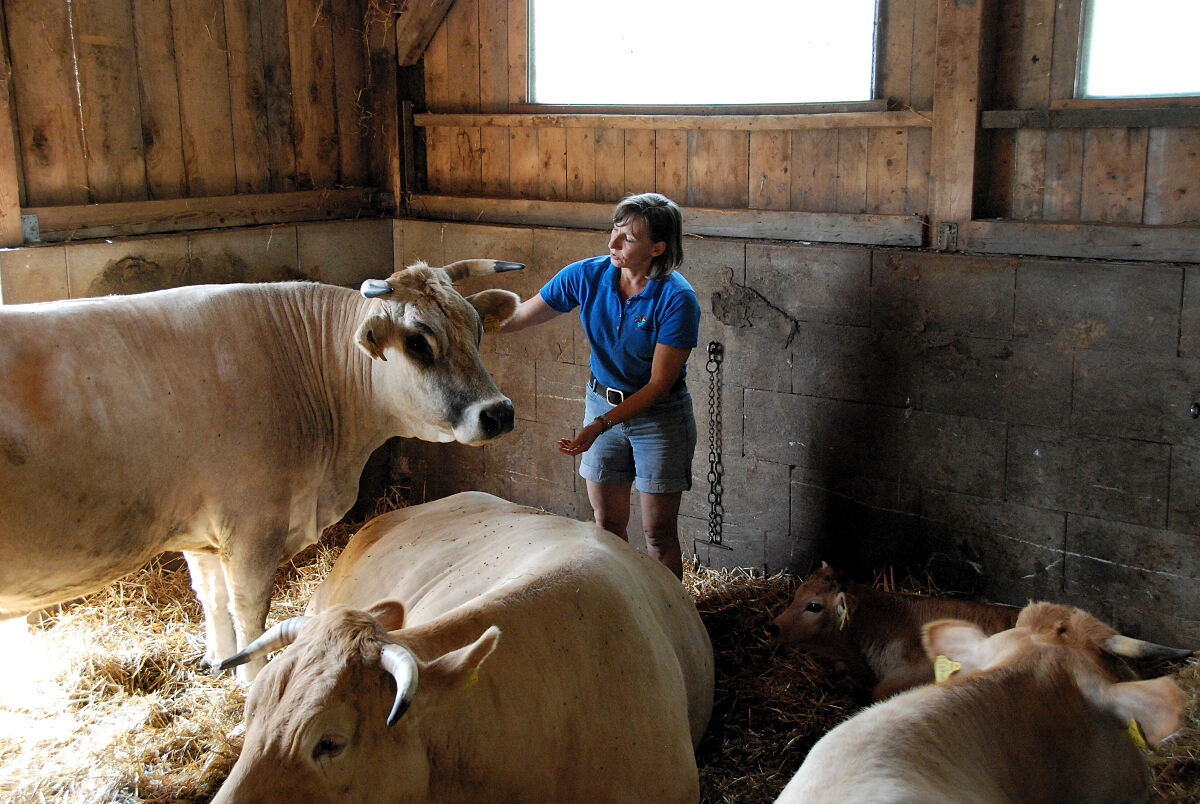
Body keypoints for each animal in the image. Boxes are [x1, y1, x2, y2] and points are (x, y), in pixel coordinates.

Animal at [2, 260, 523, 681]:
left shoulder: (201, 530)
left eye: (477, 329)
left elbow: (211, 597)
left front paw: (218, 663)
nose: (499, 413)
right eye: (417, 342)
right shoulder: (251, 528)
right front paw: (249, 683)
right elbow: (250, 613)